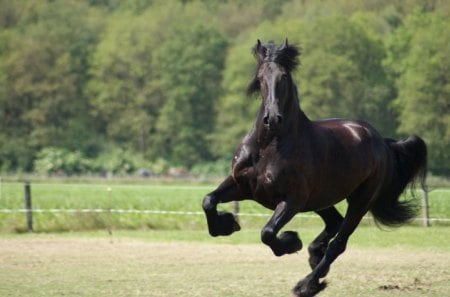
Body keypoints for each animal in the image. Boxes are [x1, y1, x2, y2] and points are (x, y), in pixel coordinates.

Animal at [202, 39, 428, 296]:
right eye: (260, 77)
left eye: (284, 77)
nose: (273, 119)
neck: (269, 145)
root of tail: (382, 141)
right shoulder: (243, 186)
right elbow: (208, 201)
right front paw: (227, 224)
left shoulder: (292, 201)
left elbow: (267, 233)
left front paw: (291, 242)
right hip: (321, 198)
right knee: (334, 222)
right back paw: (314, 255)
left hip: (359, 201)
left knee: (339, 243)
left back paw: (308, 283)